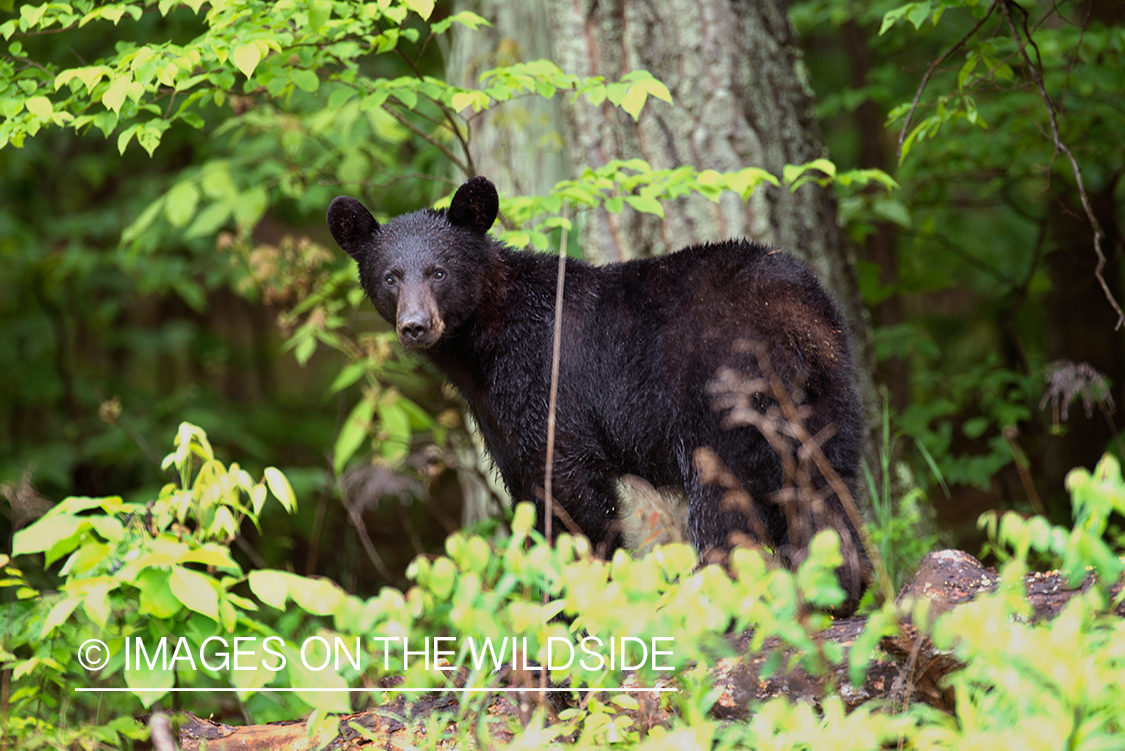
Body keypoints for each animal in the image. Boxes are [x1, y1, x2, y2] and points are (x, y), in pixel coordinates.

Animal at [326, 177, 868, 616]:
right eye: (390, 276)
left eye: (438, 271)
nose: (416, 325)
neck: (486, 347)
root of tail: (794, 319)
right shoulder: (501, 422)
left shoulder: (546, 390)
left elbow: (572, 499)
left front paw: (582, 605)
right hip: (829, 392)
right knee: (826, 486)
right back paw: (838, 590)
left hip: (721, 396)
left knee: (727, 502)